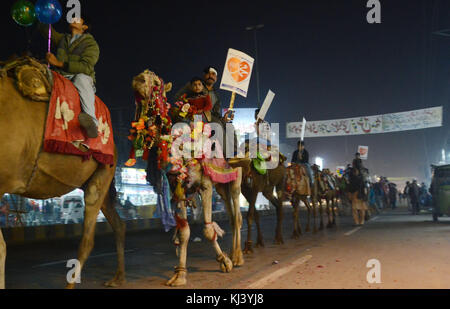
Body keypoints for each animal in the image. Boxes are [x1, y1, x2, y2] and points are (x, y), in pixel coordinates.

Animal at [130, 70, 246, 286]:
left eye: (156, 81)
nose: (138, 79)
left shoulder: (206, 185)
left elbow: (208, 230)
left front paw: (224, 262)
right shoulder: (179, 188)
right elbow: (184, 233)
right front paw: (180, 274)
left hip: (236, 179)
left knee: (237, 214)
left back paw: (237, 257)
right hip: (221, 187)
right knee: (232, 213)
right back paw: (234, 253)